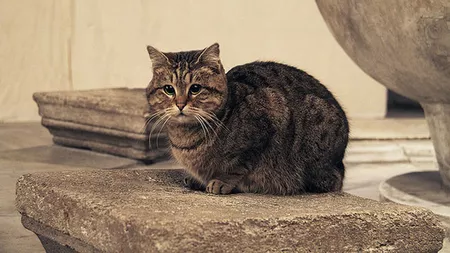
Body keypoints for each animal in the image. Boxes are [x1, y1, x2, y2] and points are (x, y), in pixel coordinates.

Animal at [146, 43, 350, 195]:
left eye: (195, 88)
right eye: (169, 89)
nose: (180, 104)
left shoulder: (267, 117)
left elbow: (238, 165)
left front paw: (221, 181)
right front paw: (198, 179)